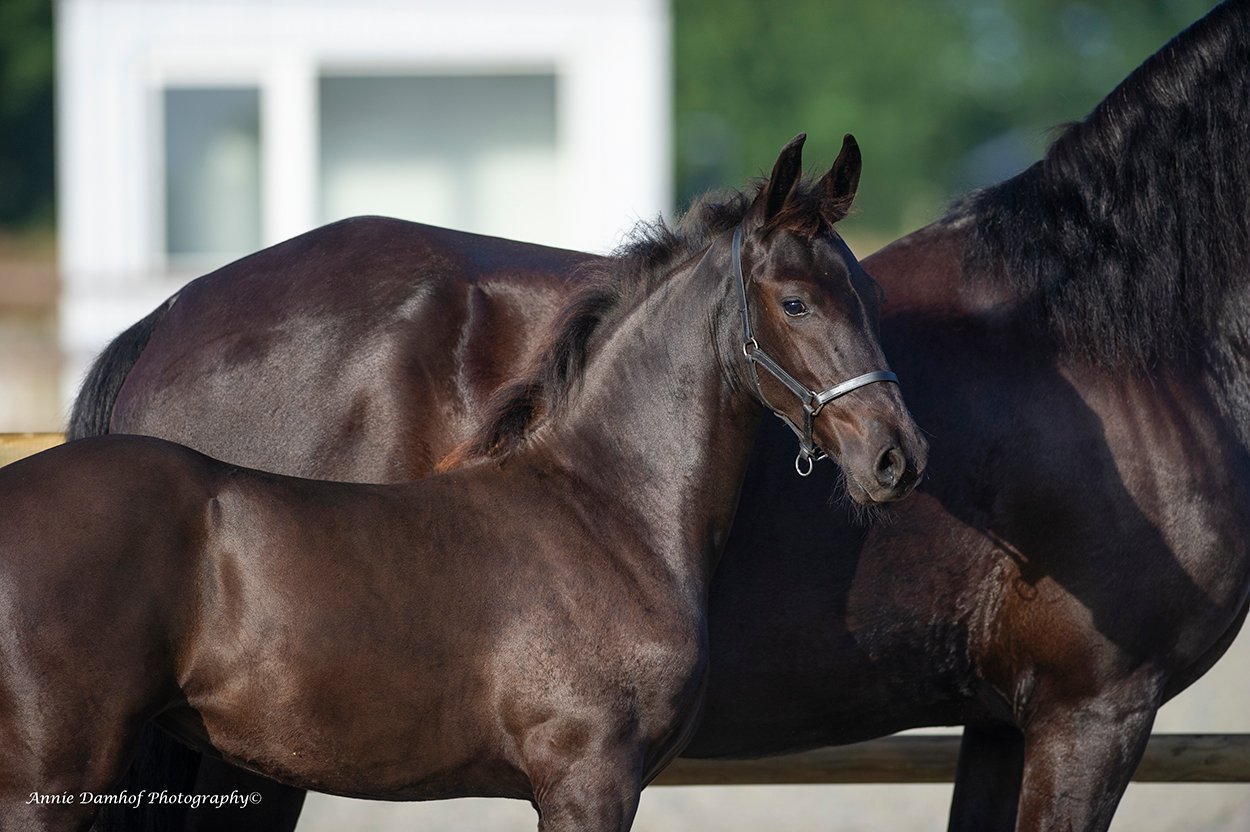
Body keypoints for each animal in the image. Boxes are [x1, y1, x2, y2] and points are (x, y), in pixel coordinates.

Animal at [2, 136, 930, 829]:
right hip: (59, 778)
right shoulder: (588, 780)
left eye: (873, 292)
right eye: (796, 302)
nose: (899, 458)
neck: (605, 509)